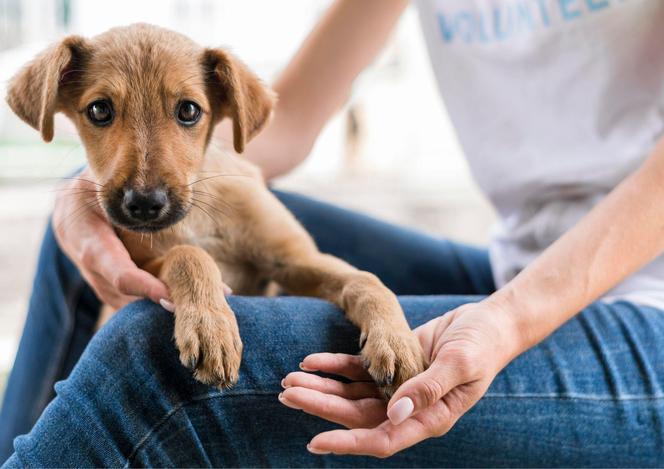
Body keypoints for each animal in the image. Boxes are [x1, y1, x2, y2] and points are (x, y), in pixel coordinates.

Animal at [5, 22, 426, 394]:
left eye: (189, 111)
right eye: (99, 111)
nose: (144, 204)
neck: (199, 215)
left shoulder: (295, 260)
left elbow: (366, 280)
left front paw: (397, 341)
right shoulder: (141, 267)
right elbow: (188, 255)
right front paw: (211, 328)